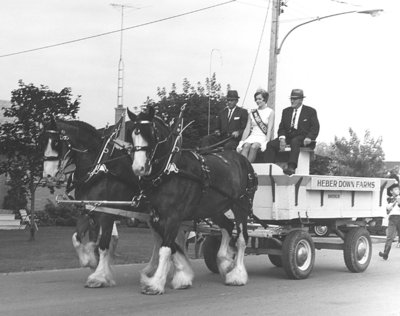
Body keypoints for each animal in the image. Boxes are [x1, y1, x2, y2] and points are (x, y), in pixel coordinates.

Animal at [42, 118, 141, 286]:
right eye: (41, 142)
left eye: (56, 142)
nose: (47, 175)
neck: (98, 171)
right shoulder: (87, 211)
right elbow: (76, 238)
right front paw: (91, 262)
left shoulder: (107, 214)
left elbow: (103, 246)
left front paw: (98, 277)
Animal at [128, 107, 260, 296]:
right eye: (133, 134)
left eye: (152, 134)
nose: (138, 168)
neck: (171, 170)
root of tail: (243, 161)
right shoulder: (156, 217)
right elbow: (171, 246)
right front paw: (182, 276)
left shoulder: (173, 217)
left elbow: (165, 249)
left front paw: (155, 283)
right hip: (215, 208)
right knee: (228, 226)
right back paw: (225, 263)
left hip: (241, 205)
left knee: (242, 238)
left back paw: (237, 275)